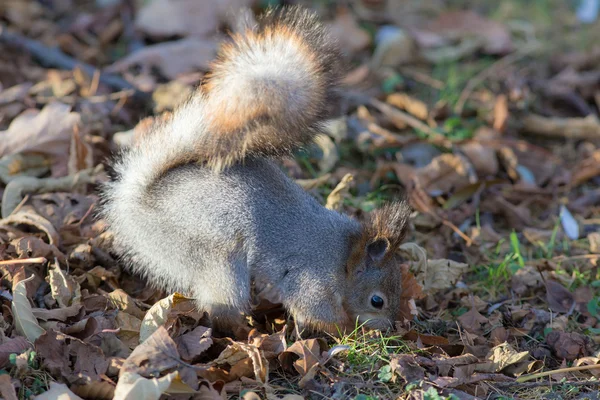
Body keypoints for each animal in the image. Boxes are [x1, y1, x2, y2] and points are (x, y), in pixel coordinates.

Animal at [102, 6, 412, 332]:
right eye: (377, 301)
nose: (390, 329)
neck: (344, 257)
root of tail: (138, 207)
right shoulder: (312, 281)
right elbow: (318, 314)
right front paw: (350, 331)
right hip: (214, 258)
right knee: (221, 308)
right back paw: (246, 329)